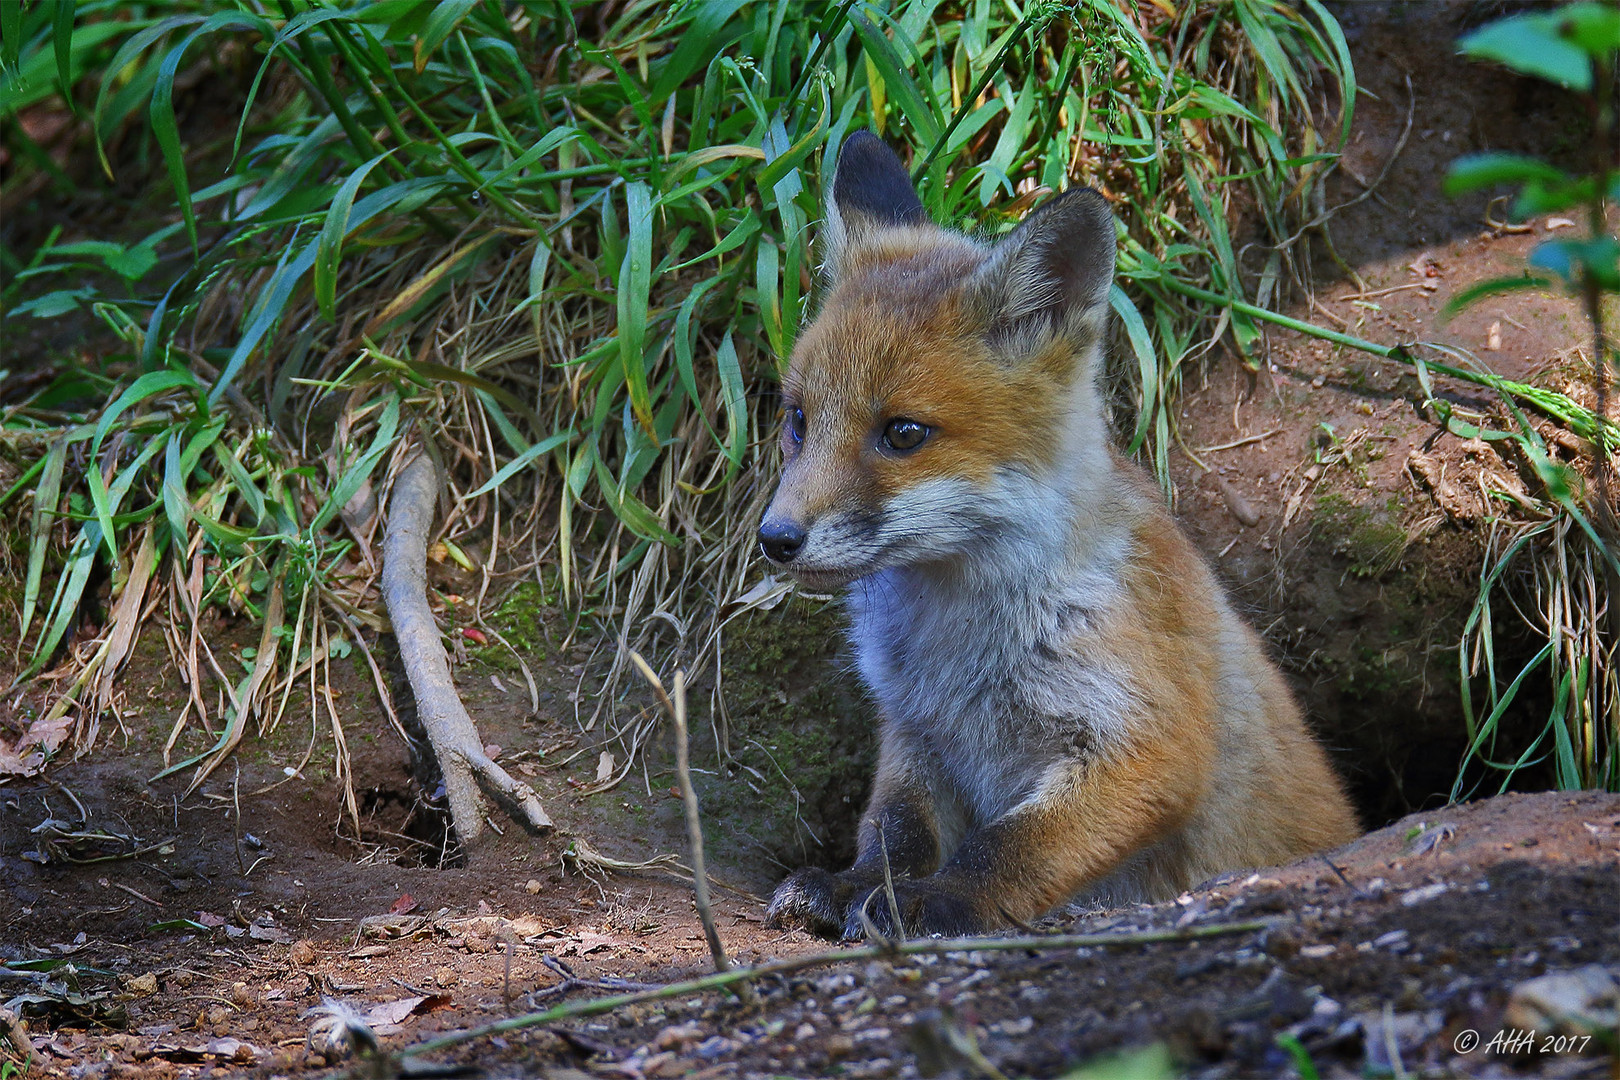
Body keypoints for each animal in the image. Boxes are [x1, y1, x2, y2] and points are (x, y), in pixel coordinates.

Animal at [751, 135, 1360, 939]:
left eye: (903, 433)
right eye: (798, 419)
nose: (776, 538)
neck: (957, 647)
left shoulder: (1148, 741)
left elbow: (1010, 846)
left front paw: (940, 903)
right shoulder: (917, 734)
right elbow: (894, 833)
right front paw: (855, 884)